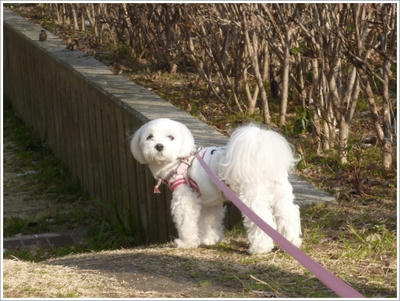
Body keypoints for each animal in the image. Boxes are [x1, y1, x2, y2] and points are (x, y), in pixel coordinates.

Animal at [130, 117, 302, 253]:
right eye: (149, 137)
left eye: (171, 137)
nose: (159, 146)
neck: (179, 161)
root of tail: (261, 154)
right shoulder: (210, 200)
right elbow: (210, 220)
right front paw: (210, 239)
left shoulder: (185, 198)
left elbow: (186, 221)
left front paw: (186, 243)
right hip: (281, 194)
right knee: (288, 214)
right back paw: (293, 242)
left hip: (252, 196)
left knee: (263, 219)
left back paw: (260, 248)